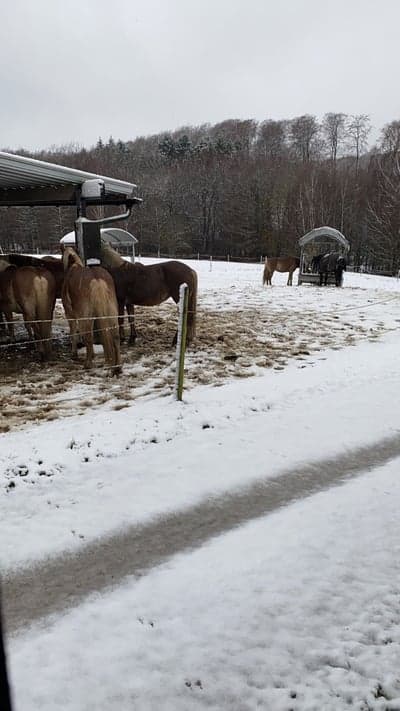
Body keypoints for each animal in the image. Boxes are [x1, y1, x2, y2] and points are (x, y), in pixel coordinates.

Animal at [61, 248, 121, 376]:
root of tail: (96, 279)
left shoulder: (71, 315)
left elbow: (74, 333)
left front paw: (74, 354)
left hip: (85, 316)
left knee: (88, 336)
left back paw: (88, 364)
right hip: (111, 313)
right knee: (115, 336)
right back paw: (117, 367)